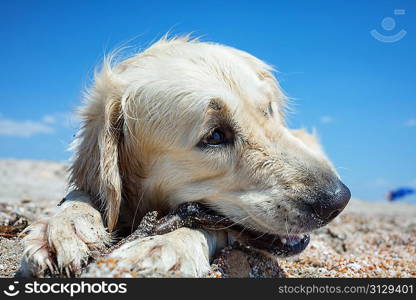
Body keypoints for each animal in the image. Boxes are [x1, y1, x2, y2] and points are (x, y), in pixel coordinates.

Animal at [19, 36, 352, 278]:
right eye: (215, 136)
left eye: (267, 110)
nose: (338, 199)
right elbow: (83, 193)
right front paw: (63, 226)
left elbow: (206, 224)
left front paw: (164, 246)